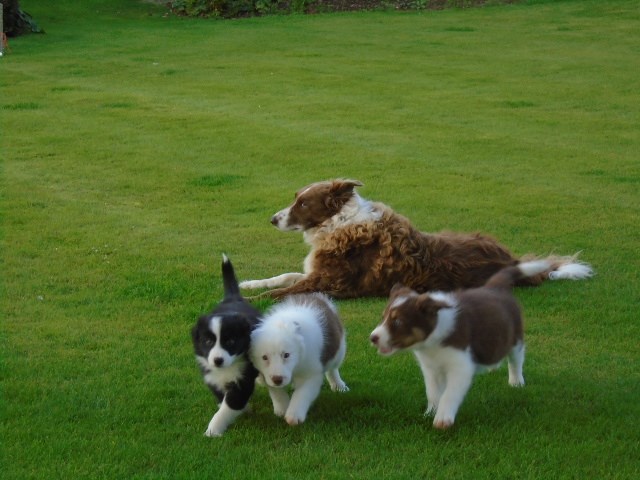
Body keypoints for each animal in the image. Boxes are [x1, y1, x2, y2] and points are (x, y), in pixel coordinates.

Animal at [191, 255, 262, 438]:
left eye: (230, 342)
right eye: (208, 342)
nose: (217, 360)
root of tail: (233, 298)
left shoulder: (243, 379)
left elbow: (230, 404)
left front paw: (212, 431)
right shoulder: (211, 376)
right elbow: (220, 397)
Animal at [240, 180, 596, 300]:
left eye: (302, 204)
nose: (272, 219)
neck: (340, 223)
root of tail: (514, 262)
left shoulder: (329, 282)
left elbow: (281, 293)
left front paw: (250, 301)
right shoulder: (313, 273)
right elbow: (281, 277)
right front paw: (249, 283)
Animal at [250, 294, 350, 426]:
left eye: (286, 355)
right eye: (264, 357)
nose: (278, 380)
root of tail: (316, 296)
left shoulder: (310, 373)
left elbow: (302, 394)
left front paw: (294, 416)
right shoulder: (266, 375)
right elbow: (276, 393)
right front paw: (282, 408)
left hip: (339, 351)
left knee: (333, 369)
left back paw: (339, 385)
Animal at [370, 260, 552, 430]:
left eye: (398, 321)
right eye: (383, 317)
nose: (373, 337)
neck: (431, 342)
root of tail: (496, 286)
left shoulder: (460, 366)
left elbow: (449, 394)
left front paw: (443, 419)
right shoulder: (430, 368)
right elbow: (432, 392)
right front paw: (430, 412)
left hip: (515, 338)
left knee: (516, 360)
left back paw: (516, 382)